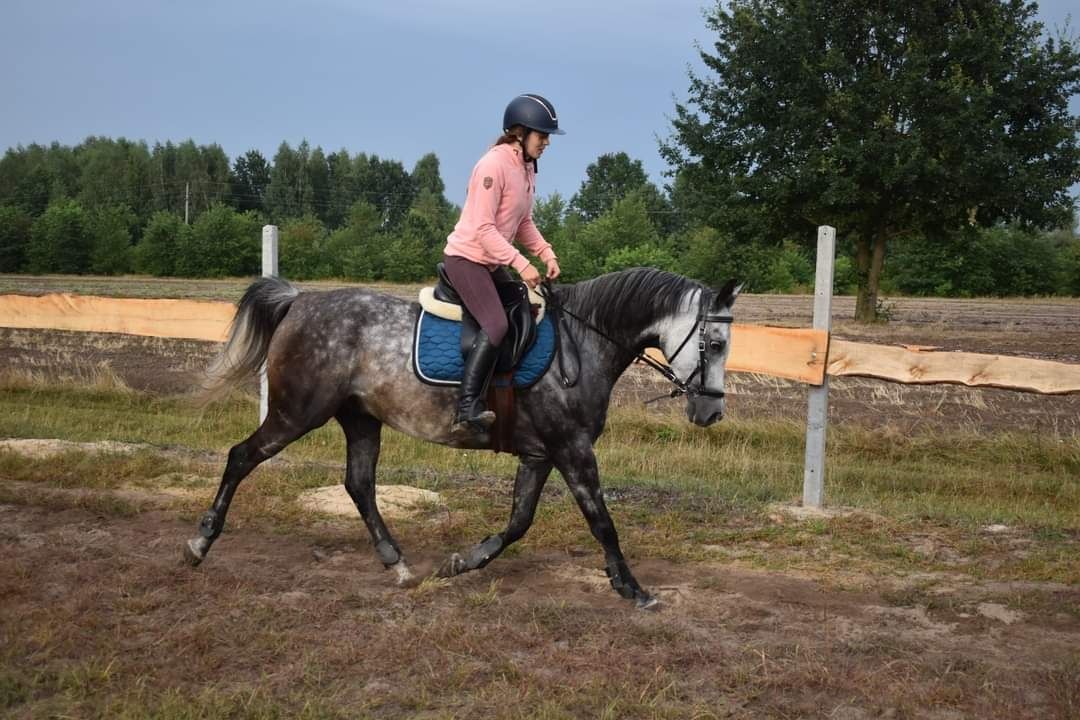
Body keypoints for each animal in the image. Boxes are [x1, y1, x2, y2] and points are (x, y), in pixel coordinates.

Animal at [185, 267, 743, 613]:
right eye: (715, 343)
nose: (712, 412)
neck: (582, 346)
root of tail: (300, 301)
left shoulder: (540, 454)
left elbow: (519, 521)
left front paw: (462, 563)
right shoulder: (572, 449)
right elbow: (602, 522)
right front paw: (632, 588)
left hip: (360, 419)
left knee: (359, 484)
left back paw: (398, 564)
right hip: (297, 412)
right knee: (241, 457)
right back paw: (199, 543)